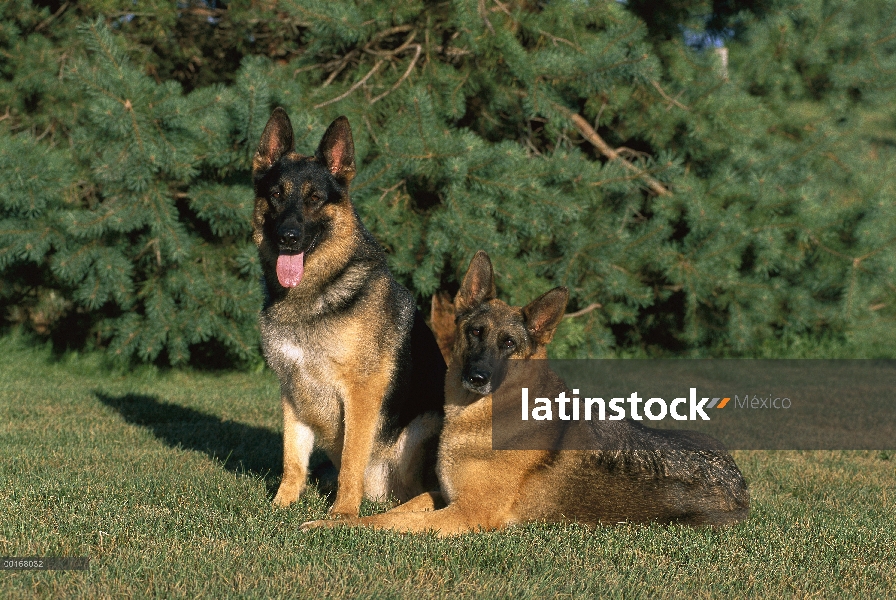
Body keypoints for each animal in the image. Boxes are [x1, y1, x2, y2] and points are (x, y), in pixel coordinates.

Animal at [252, 110, 448, 516]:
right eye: (276, 195)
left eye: (314, 199)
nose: (288, 239)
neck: (315, 294)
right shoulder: (292, 394)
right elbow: (292, 459)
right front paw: (281, 505)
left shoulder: (361, 393)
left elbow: (352, 458)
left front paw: (342, 514)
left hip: (427, 423)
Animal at [300, 251, 748, 532]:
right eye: (475, 333)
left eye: (509, 344)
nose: (477, 378)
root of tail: (741, 483)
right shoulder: (443, 495)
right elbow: (390, 516)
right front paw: (336, 523)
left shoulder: (469, 513)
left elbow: (397, 527)